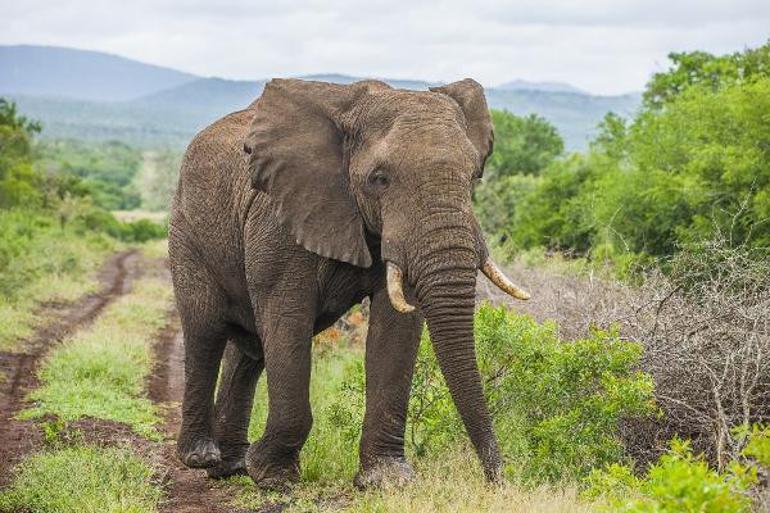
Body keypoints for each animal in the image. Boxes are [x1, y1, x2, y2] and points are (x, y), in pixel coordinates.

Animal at [168, 78, 528, 490]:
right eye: (379, 179)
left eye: (472, 178)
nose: (499, 479)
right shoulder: (279, 214)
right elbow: (287, 315)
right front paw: (274, 476)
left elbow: (397, 327)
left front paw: (387, 480)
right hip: (187, 233)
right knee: (206, 331)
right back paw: (200, 457)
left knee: (249, 350)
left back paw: (231, 467)